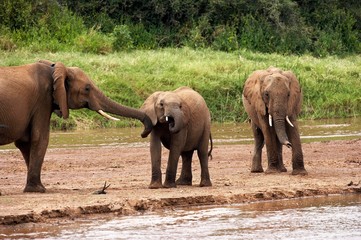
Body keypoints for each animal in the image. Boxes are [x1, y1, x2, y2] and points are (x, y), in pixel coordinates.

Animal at [0, 60, 152, 193]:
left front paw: (35, 188)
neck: (54, 69)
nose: (143, 133)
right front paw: (39, 190)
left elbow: (25, 142)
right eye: (87, 88)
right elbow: (40, 138)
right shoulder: (42, 101)